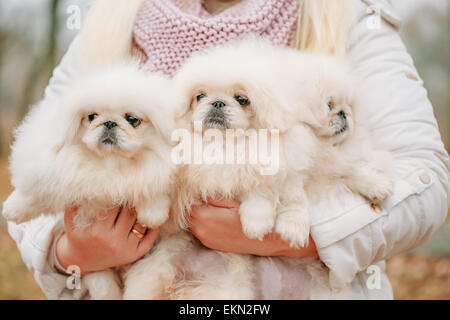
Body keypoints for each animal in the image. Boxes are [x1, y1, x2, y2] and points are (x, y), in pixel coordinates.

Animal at [3, 63, 176, 298]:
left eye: (132, 120)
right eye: (92, 117)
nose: (109, 122)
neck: (110, 164)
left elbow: (151, 183)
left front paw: (153, 214)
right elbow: (37, 194)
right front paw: (12, 209)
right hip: (98, 271)